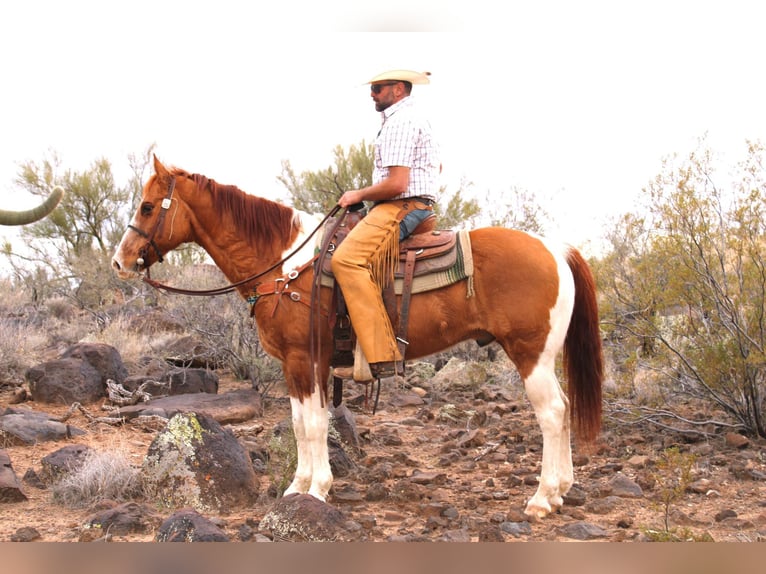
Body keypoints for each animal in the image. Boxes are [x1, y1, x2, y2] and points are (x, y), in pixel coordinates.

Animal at [112, 158, 608, 520]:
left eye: (149, 207)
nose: (120, 262)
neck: (285, 266)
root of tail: (557, 249)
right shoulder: (297, 365)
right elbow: (301, 423)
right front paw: (296, 488)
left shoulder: (304, 359)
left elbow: (314, 425)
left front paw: (317, 490)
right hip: (543, 356)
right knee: (564, 410)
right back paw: (562, 490)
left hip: (530, 353)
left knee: (552, 414)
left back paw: (542, 498)